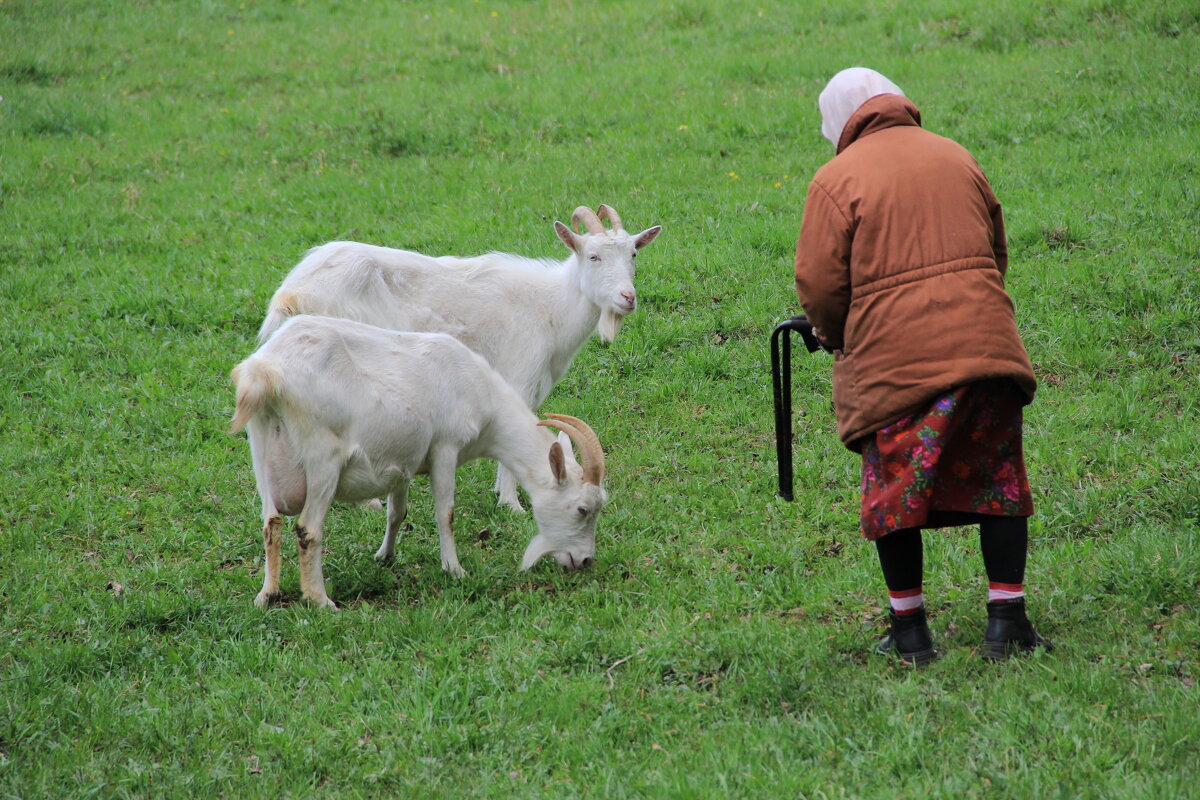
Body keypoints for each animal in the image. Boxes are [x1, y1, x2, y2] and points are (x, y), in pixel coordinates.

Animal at [229, 316, 609, 609]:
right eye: (583, 509)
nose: (585, 560)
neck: (480, 392)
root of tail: (267, 371)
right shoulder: (445, 448)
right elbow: (446, 513)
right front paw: (455, 570)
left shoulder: (404, 462)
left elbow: (397, 513)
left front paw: (385, 556)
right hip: (322, 457)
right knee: (307, 529)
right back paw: (321, 601)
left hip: (261, 448)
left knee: (271, 523)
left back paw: (267, 595)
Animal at [258, 203, 662, 510]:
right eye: (593, 256)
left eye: (633, 254)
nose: (628, 298)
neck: (551, 306)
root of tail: (291, 293)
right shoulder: (519, 377)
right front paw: (512, 505)